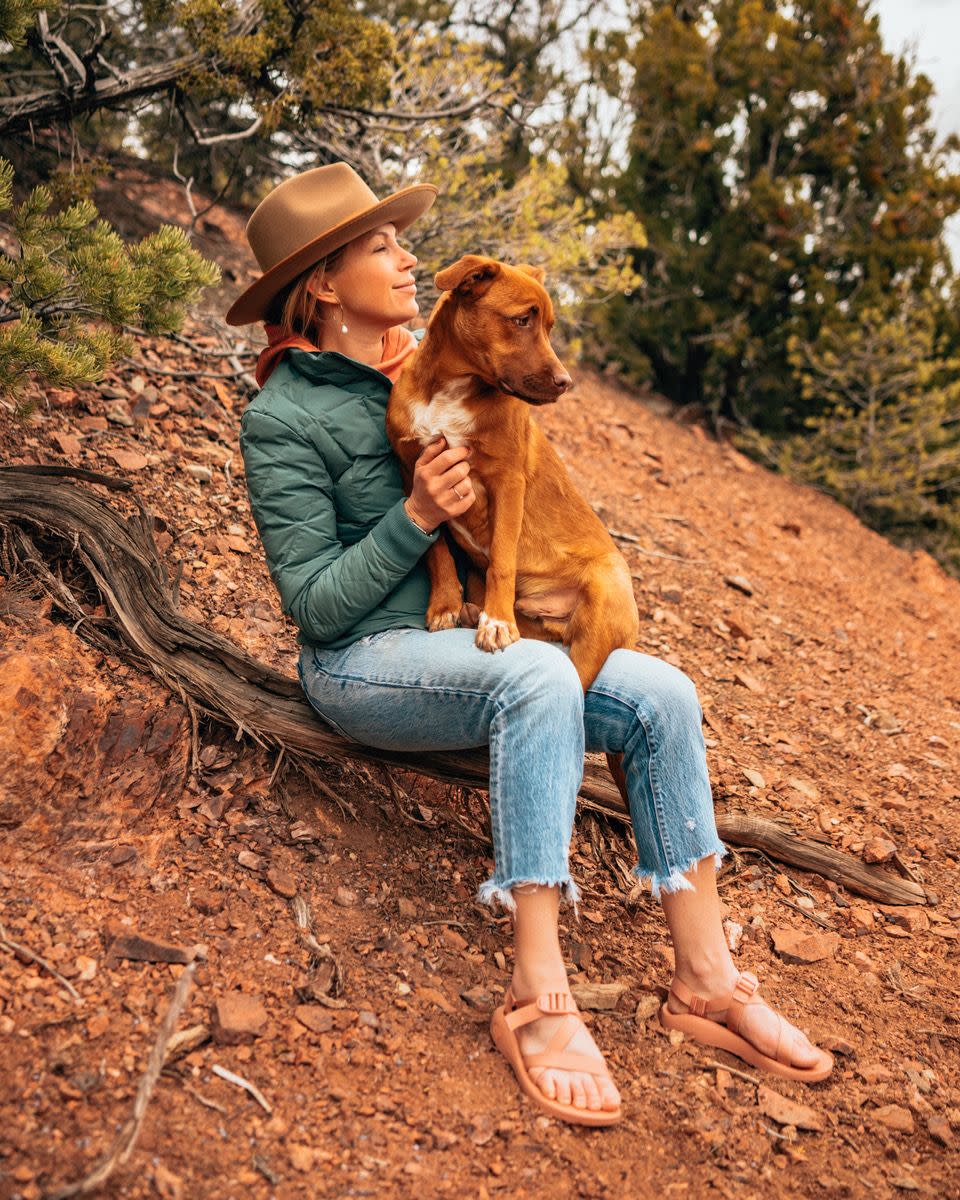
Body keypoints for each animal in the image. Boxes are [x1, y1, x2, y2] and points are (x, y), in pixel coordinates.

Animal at [386, 258, 643, 700]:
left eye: (550, 327)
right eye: (522, 320)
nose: (565, 383)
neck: (452, 390)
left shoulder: (507, 482)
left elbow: (503, 560)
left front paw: (497, 623)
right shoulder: (412, 473)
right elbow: (435, 549)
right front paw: (445, 604)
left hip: (603, 602)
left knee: (577, 684)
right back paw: (472, 610)